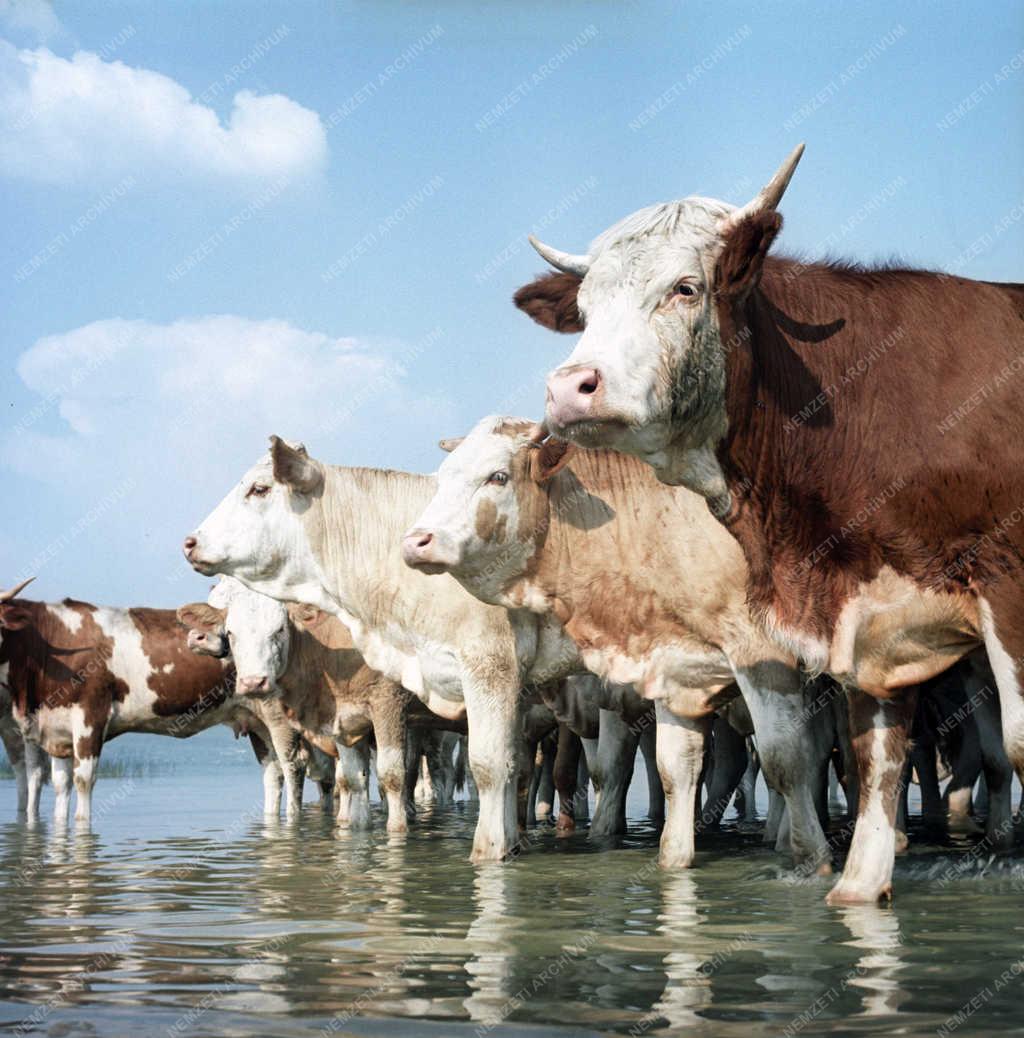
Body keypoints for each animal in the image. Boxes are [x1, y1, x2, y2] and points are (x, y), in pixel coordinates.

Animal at [0, 577, 311, 817]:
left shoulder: (91, 715)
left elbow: (83, 782)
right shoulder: (52, 729)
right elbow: (59, 784)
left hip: (280, 717)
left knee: (293, 765)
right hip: (256, 720)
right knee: (273, 773)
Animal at [178, 572, 414, 830]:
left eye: (279, 630)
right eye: (231, 632)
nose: (253, 682)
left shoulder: (389, 701)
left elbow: (392, 776)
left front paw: (397, 830)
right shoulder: (344, 722)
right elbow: (352, 780)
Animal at [396, 417, 838, 871]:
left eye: (498, 476)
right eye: (443, 477)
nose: (415, 541)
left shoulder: (765, 654)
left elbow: (786, 760)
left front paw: (815, 858)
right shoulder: (672, 666)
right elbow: (673, 769)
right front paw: (673, 859)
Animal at [516, 146, 1024, 900]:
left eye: (685, 289)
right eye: (583, 308)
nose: (569, 388)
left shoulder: (1005, 584)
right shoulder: (866, 619)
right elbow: (874, 763)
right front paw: (855, 886)